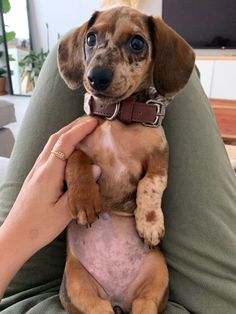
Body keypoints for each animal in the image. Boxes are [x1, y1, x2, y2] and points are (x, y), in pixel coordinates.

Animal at [57, 4, 195, 314]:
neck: (117, 115)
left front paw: (150, 223)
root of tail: (118, 299)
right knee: (98, 307)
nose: (96, 77)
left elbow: (150, 186)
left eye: (137, 43)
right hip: (77, 284)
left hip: (156, 277)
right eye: (91, 38)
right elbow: (77, 161)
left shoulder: (159, 158)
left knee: (145, 304)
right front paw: (84, 200)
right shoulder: (74, 141)